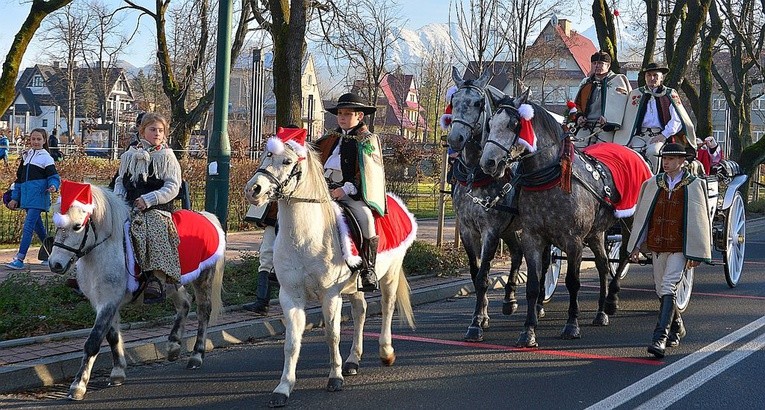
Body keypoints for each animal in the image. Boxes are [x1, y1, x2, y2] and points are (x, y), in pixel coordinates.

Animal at [48, 183, 224, 400]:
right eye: (57, 225)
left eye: (77, 226)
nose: (55, 264)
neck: (105, 250)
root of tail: (207, 217)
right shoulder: (104, 301)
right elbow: (112, 336)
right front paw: (117, 373)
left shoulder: (109, 302)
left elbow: (93, 340)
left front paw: (78, 385)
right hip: (172, 282)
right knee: (184, 303)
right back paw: (173, 346)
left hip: (203, 278)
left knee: (203, 312)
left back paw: (196, 356)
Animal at [245, 136, 414, 406]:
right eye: (265, 156)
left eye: (287, 161)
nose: (254, 189)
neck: (305, 238)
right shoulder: (290, 297)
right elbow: (291, 342)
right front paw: (283, 387)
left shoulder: (330, 295)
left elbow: (332, 335)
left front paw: (334, 378)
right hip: (355, 286)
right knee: (360, 311)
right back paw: (353, 360)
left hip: (390, 274)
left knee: (387, 308)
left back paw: (386, 352)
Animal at [480, 93, 628, 346]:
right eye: (490, 124)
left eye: (514, 124)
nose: (488, 162)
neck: (550, 178)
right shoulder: (532, 237)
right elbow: (533, 283)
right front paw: (528, 330)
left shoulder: (574, 240)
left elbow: (573, 282)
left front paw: (572, 325)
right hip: (597, 234)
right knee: (603, 264)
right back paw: (600, 311)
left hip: (631, 226)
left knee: (621, 259)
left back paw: (611, 300)